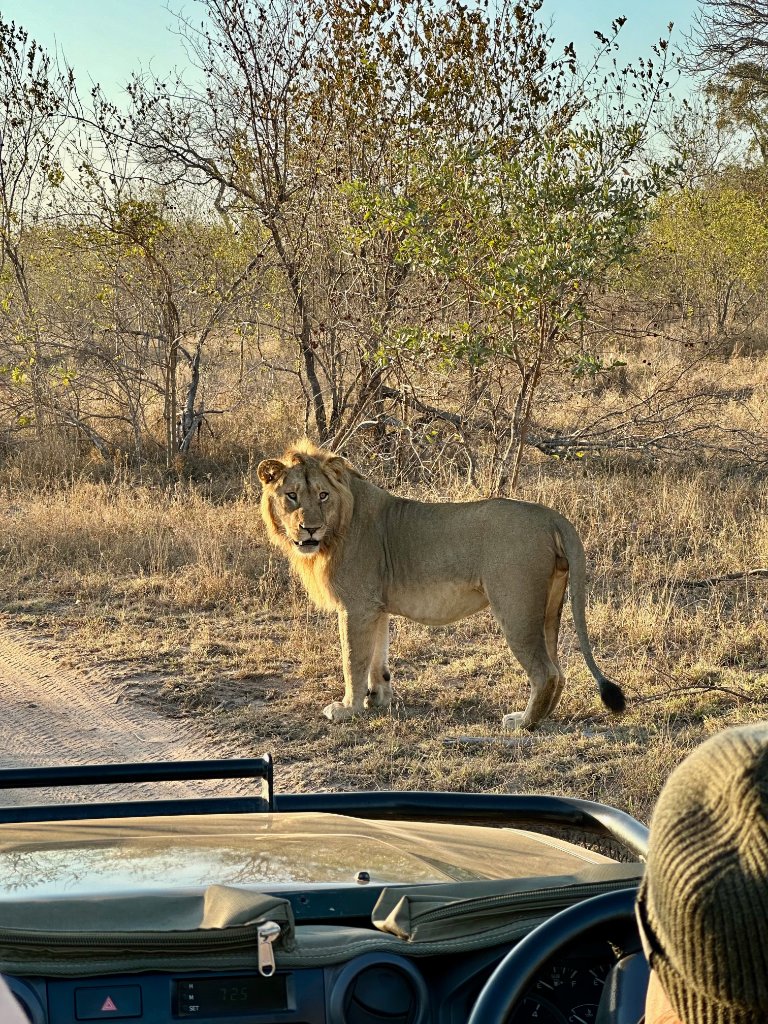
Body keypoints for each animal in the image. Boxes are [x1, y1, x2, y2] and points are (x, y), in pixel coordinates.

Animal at [257, 439, 625, 730]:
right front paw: (377, 699)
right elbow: (377, 656)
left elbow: (353, 660)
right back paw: (540, 717)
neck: (337, 528)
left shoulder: (356, 606)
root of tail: (551, 516)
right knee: (558, 670)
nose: (309, 529)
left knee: (545, 671)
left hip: (516, 607)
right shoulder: (375, 607)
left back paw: (523, 723)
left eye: (322, 495)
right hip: (549, 605)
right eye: (291, 496)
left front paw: (348, 708)